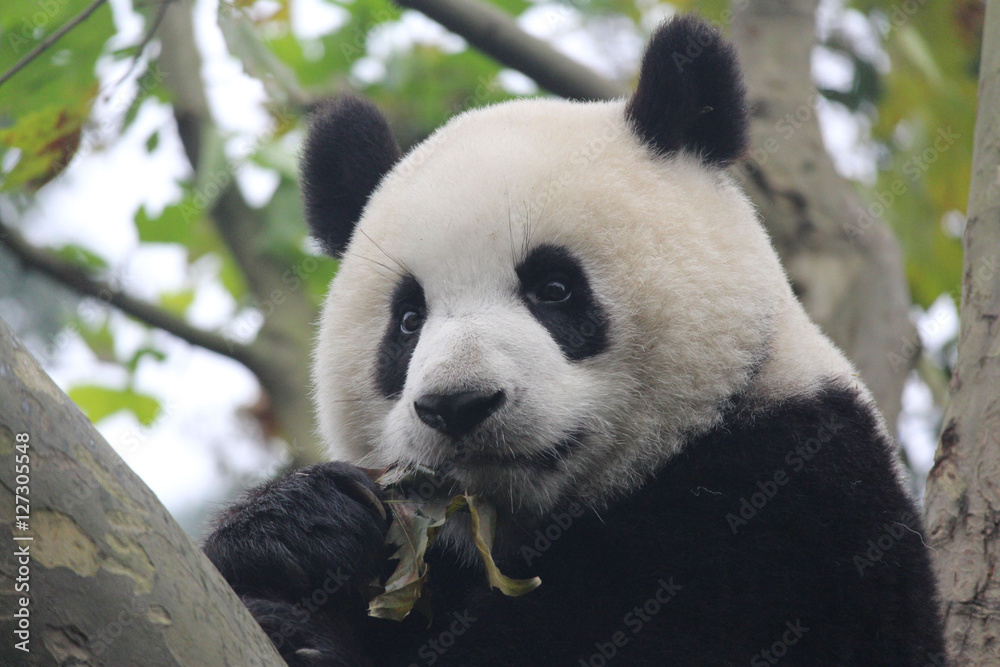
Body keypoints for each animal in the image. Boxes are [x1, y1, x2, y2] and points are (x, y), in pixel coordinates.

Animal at [203, 15, 946, 667]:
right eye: (408, 320)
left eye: (554, 288)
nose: (459, 404)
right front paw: (299, 525)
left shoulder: (794, 501)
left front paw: (312, 635)